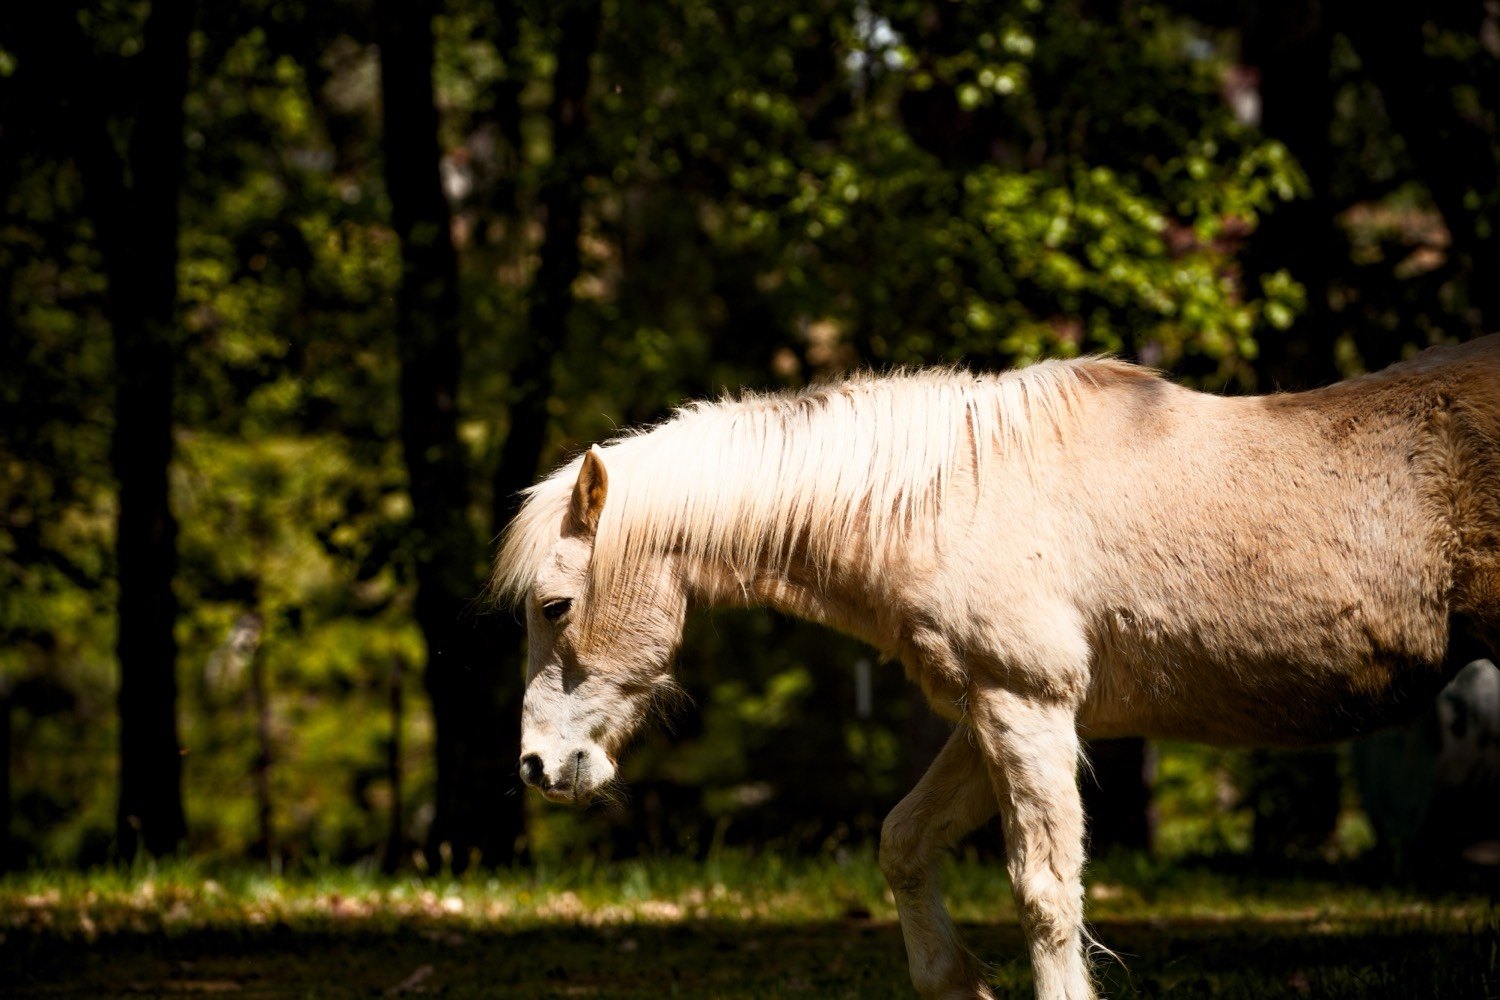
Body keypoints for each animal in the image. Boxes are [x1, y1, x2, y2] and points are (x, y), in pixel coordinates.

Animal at [493, 336, 1500, 1000]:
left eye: (556, 607)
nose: (538, 765)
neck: (946, 496)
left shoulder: (1030, 709)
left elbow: (1046, 895)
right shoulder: (990, 716)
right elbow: (903, 841)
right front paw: (955, 979)